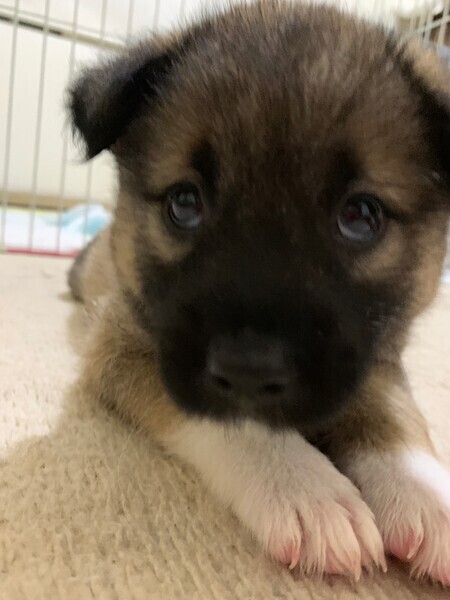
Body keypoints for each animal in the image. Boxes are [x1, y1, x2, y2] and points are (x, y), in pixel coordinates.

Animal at [67, 0, 450, 583]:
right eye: (184, 203)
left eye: (362, 216)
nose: (250, 365)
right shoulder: (124, 342)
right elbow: (238, 418)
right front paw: (307, 489)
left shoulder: (376, 351)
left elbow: (391, 407)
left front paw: (420, 488)